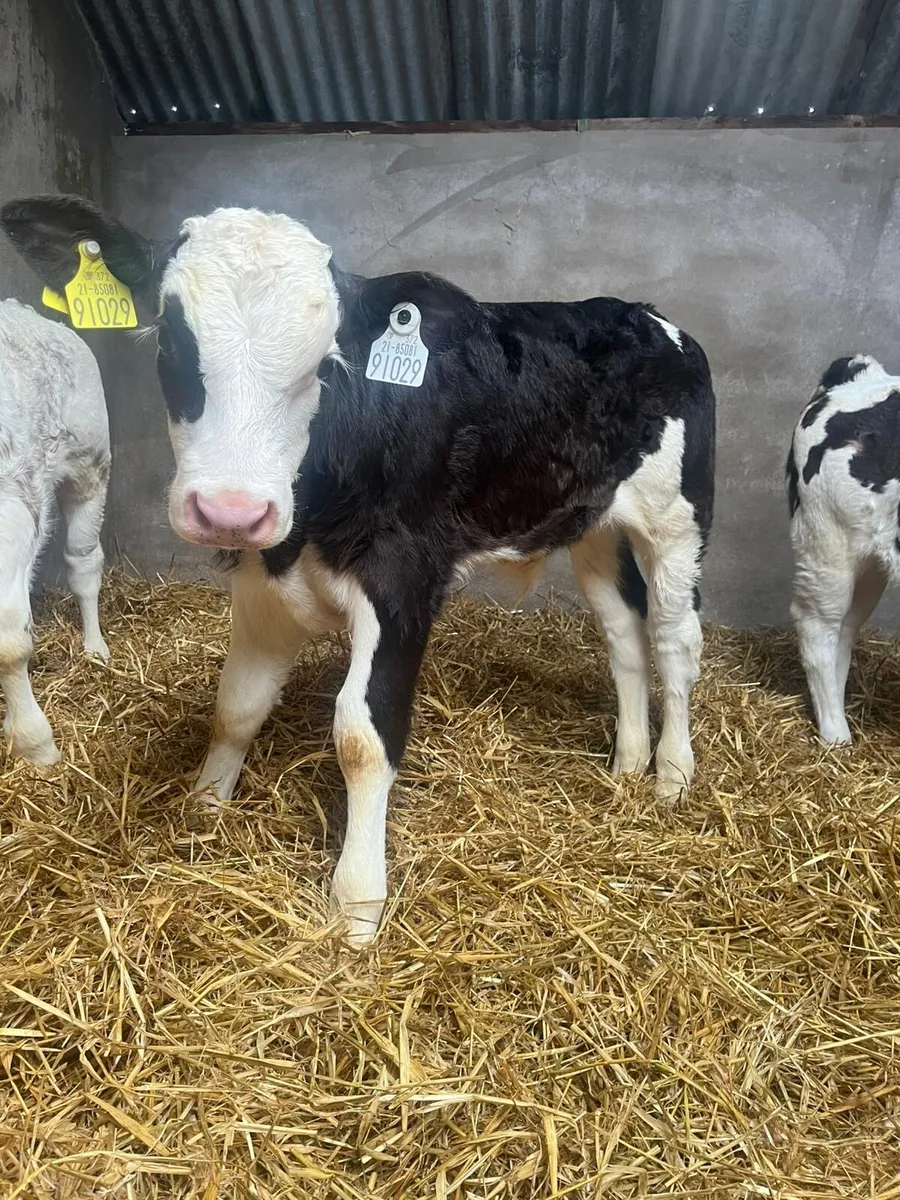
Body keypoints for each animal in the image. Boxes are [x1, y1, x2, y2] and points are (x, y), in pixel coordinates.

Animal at [2, 195, 716, 942]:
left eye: (324, 362)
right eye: (170, 340)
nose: (231, 508)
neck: (307, 523)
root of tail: (642, 314)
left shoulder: (404, 581)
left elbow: (363, 736)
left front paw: (357, 904)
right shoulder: (261, 584)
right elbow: (236, 708)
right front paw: (205, 808)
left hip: (679, 516)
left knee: (674, 640)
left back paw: (671, 775)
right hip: (593, 526)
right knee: (623, 631)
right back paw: (627, 763)